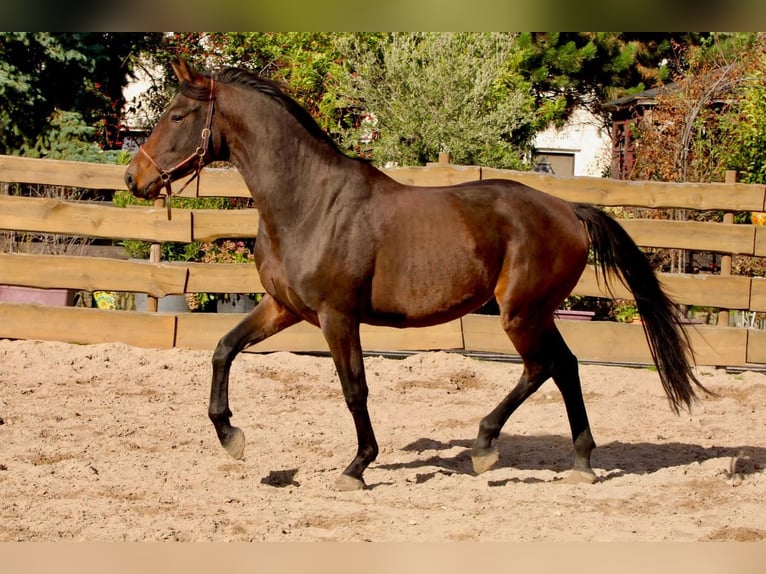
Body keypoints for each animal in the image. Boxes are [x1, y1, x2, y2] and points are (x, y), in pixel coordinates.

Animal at [125, 59, 709, 490]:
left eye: (177, 116)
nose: (133, 177)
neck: (309, 202)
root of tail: (568, 210)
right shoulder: (285, 308)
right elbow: (223, 349)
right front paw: (231, 437)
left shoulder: (338, 317)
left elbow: (354, 388)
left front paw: (357, 467)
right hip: (536, 313)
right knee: (563, 367)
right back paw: (579, 463)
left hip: (521, 314)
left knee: (544, 367)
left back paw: (486, 447)